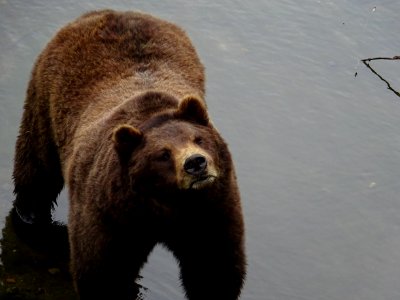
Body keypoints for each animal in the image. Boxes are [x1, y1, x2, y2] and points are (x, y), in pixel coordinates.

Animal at [12, 9, 247, 300]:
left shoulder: (211, 208)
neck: (164, 204)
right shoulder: (109, 214)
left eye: (198, 138)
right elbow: (103, 271)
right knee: (37, 166)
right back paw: (29, 215)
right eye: (163, 154)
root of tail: (104, 12)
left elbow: (214, 266)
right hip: (45, 102)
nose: (196, 163)